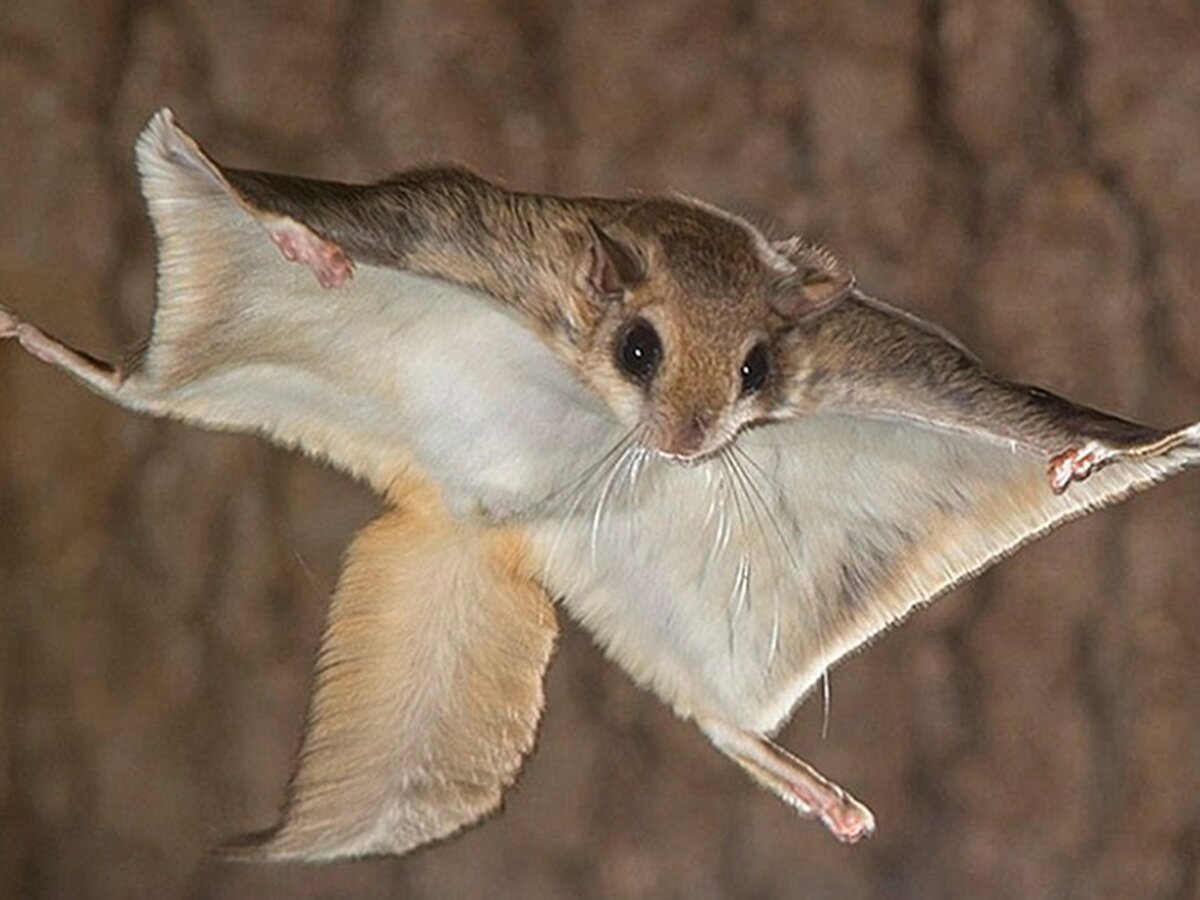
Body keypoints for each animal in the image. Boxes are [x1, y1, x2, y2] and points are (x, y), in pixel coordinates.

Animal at [2, 109, 1200, 864]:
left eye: (754, 372)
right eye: (638, 349)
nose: (686, 445)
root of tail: (476, 522)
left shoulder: (877, 365)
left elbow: (1006, 407)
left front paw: (1083, 456)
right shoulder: (457, 227)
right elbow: (335, 213)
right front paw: (305, 246)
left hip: (667, 621)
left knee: (717, 718)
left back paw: (817, 793)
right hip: (213, 376)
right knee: (134, 389)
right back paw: (47, 341)